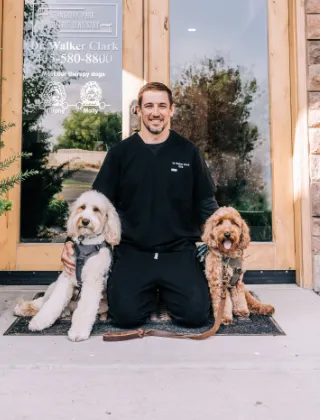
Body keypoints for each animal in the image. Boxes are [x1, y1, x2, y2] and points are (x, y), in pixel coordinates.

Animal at [13, 190, 121, 342]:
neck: (86, 244)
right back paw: (23, 308)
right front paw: (39, 322)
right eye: (82, 207)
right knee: (43, 301)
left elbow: (85, 308)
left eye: (96, 209)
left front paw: (78, 332)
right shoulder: (66, 278)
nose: (85, 221)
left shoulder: (92, 282)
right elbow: (53, 302)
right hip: (54, 285)